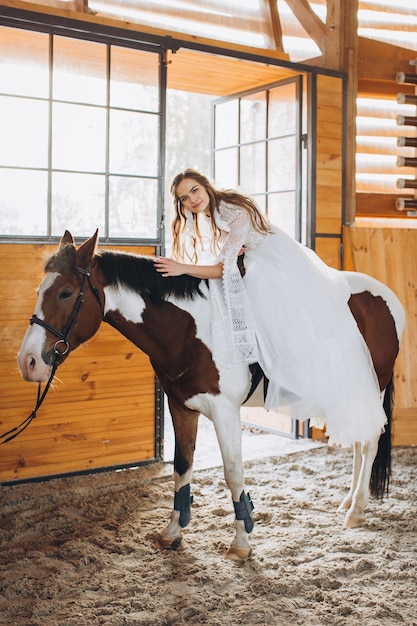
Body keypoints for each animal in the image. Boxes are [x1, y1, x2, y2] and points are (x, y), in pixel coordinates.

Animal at [17, 230, 404, 560]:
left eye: (66, 292)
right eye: (38, 290)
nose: (28, 361)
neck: (190, 329)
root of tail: (388, 299)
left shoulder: (225, 412)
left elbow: (233, 474)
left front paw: (241, 542)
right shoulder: (181, 407)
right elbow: (182, 467)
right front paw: (172, 532)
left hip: (371, 387)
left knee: (369, 441)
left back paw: (356, 510)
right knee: (360, 442)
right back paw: (349, 502)